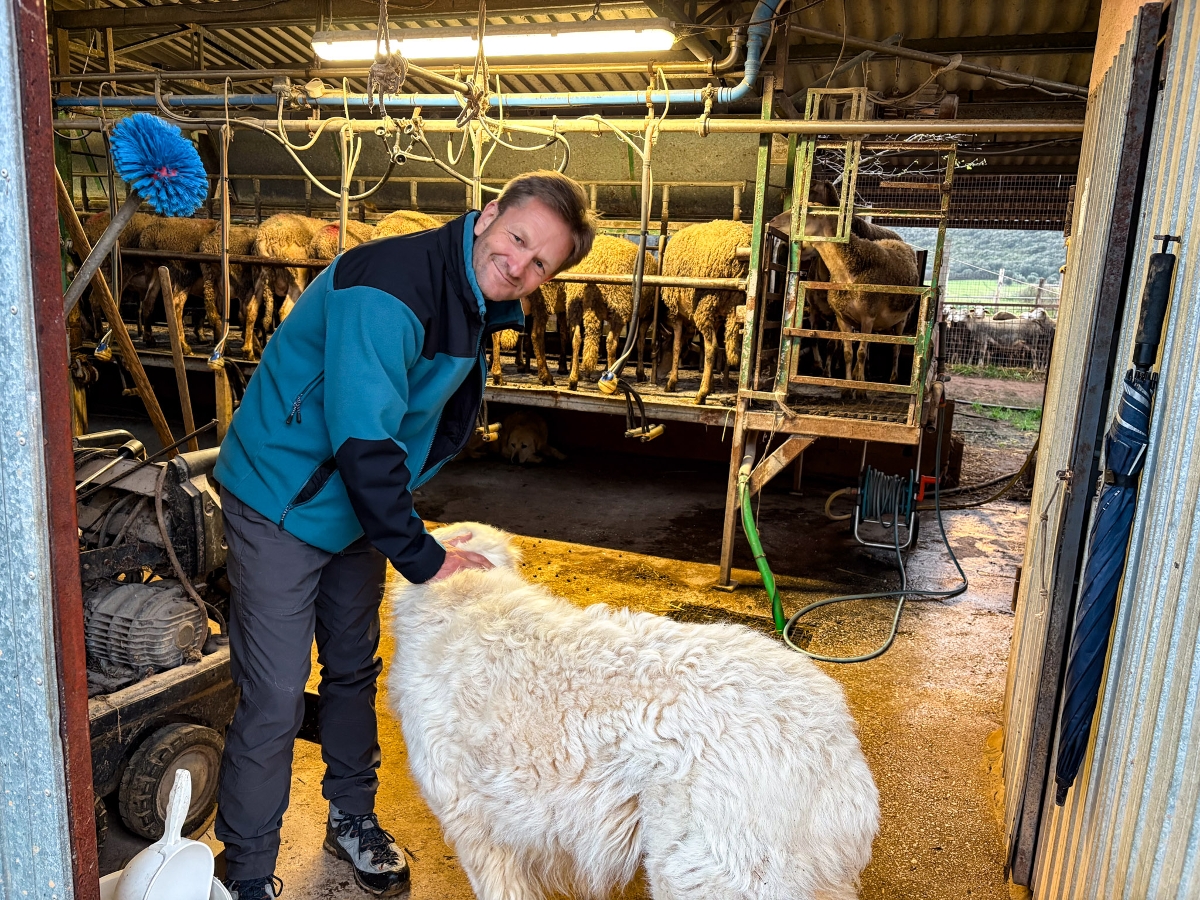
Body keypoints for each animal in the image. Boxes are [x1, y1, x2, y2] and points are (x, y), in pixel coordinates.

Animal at [136, 216, 218, 355]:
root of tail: (150, 235)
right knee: (176, 305)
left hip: (157, 271)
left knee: (148, 302)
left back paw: (149, 339)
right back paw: (184, 346)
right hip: (184, 275)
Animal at [243, 213, 325, 359]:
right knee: (285, 311)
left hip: (259, 276)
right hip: (297, 278)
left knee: (251, 308)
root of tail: (266, 238)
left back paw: (249, 351)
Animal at [661, 220, 751, 405]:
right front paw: (712, 386)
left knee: (713, 348)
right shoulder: (714, 319)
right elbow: (699, 345)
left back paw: (700, 395)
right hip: (728, 306)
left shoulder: (677, 316)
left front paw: (672, 382)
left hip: (706, 301)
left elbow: (676, 346)